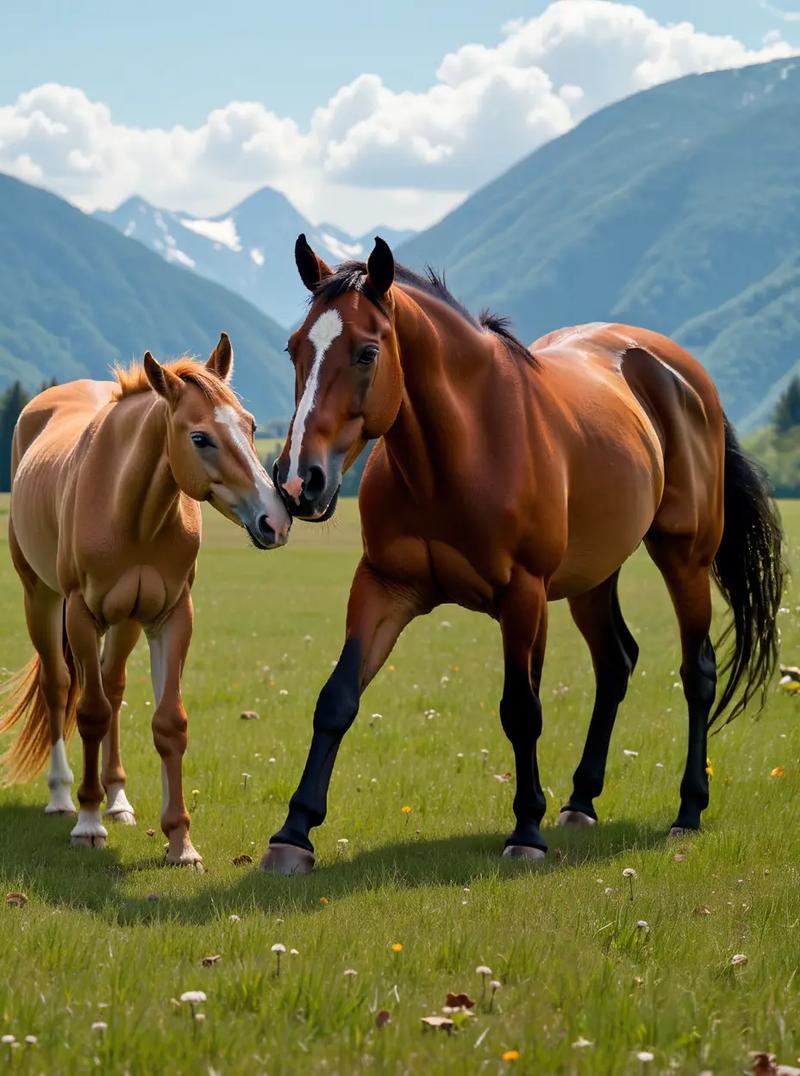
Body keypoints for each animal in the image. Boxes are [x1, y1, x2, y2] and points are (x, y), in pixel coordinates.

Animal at [0, 334, 290, 866]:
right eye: (200, 438)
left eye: (251, 425)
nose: (275, 520)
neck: (128, 508)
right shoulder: (80, 614)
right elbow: (89, 713)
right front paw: (87, 824)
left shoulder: (171, 616)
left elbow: (167, 723)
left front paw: (180, 843)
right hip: (42, 600)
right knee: (59, 688)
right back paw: (62, 796)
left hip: (125, 621)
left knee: (113, 689)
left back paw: (117, 800)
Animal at [260, 234, 784, 876]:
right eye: (294, 349)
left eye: (366, 352)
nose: (298, 480)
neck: (463, 449)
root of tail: (684, 377)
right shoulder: (384, 586)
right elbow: (337, 698)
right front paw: (294, 833)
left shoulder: (523, 594)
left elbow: (521, 709)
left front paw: (526, 831)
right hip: (592, 577)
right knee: (616, 663)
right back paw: (581, 800)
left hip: (683, 557)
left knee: (698, 673)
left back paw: (688, 810)